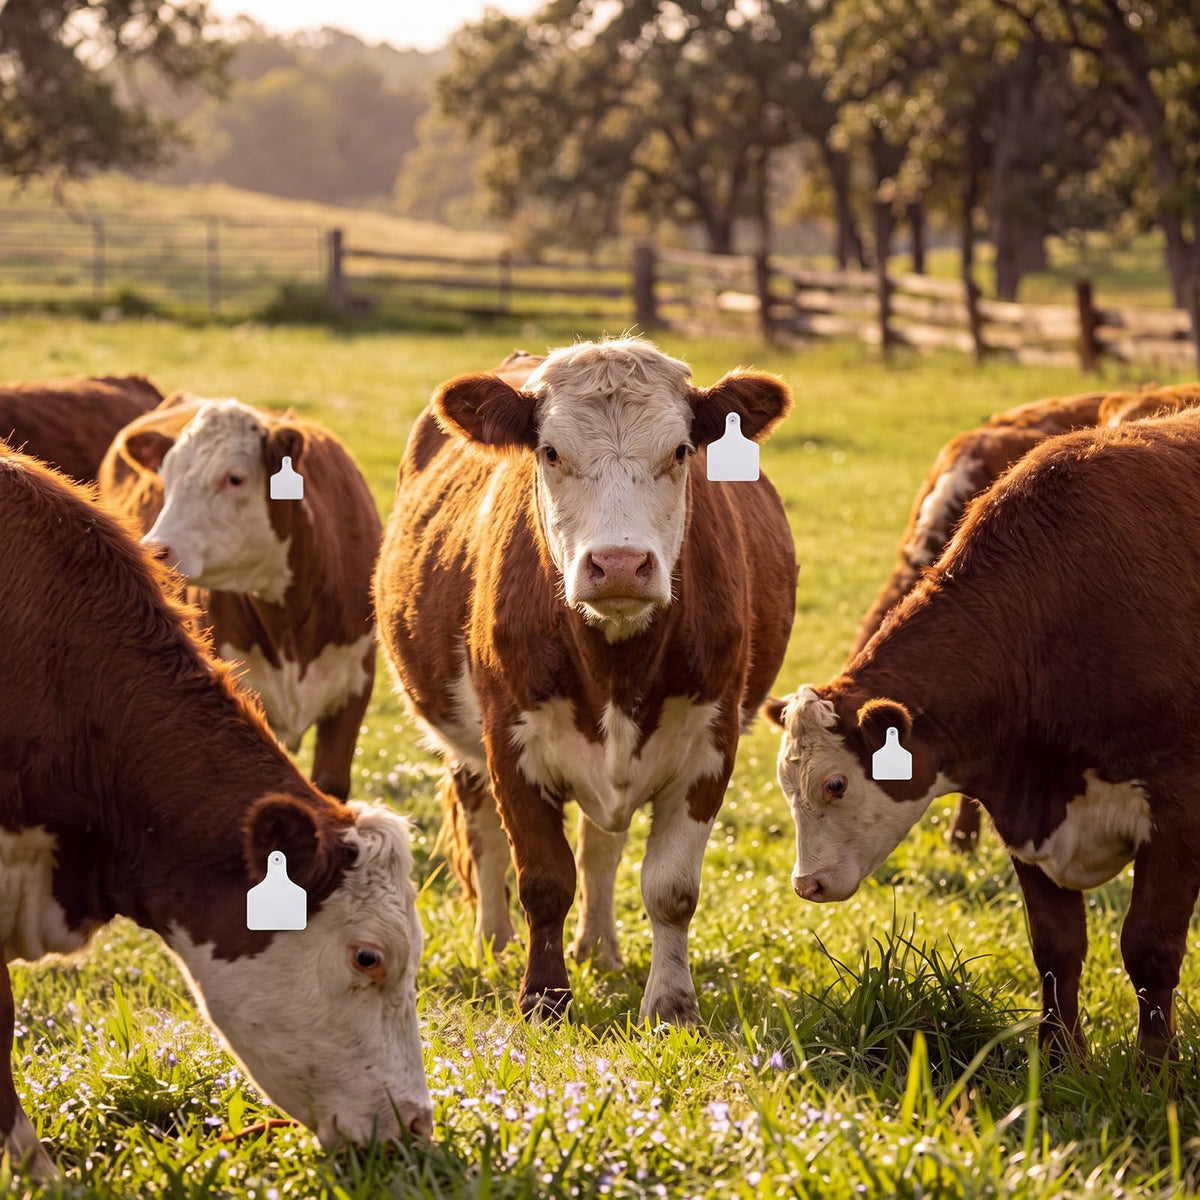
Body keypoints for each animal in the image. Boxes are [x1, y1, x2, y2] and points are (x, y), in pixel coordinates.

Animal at [374, 335, 797, 1023]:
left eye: (680, 450)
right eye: (549, 452)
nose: (619, 564)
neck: (615, 664)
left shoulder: (711, 744)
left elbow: (670, 888)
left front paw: (670, 1006)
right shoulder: (509, 741)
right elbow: (544, 879)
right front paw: (543, 998)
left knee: (601, 847)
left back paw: (599, 948)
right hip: (466, 743)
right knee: (481, 828)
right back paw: (495, 945)